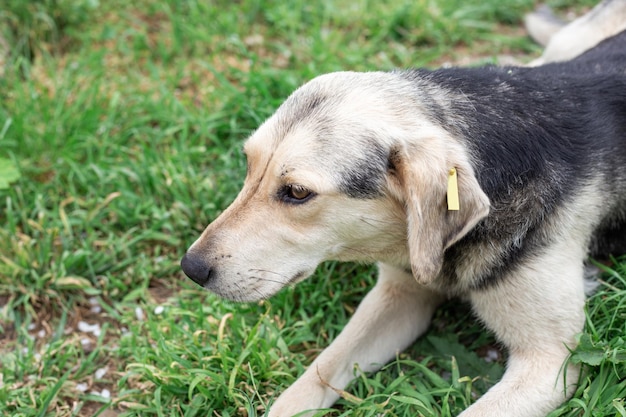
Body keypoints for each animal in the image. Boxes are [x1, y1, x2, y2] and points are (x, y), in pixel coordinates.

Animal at [179, 1, 624, 414]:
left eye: (298, 192)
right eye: (249, 165)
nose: (191, 268)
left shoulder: (551, 360)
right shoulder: (399, 293)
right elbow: (313, 378)